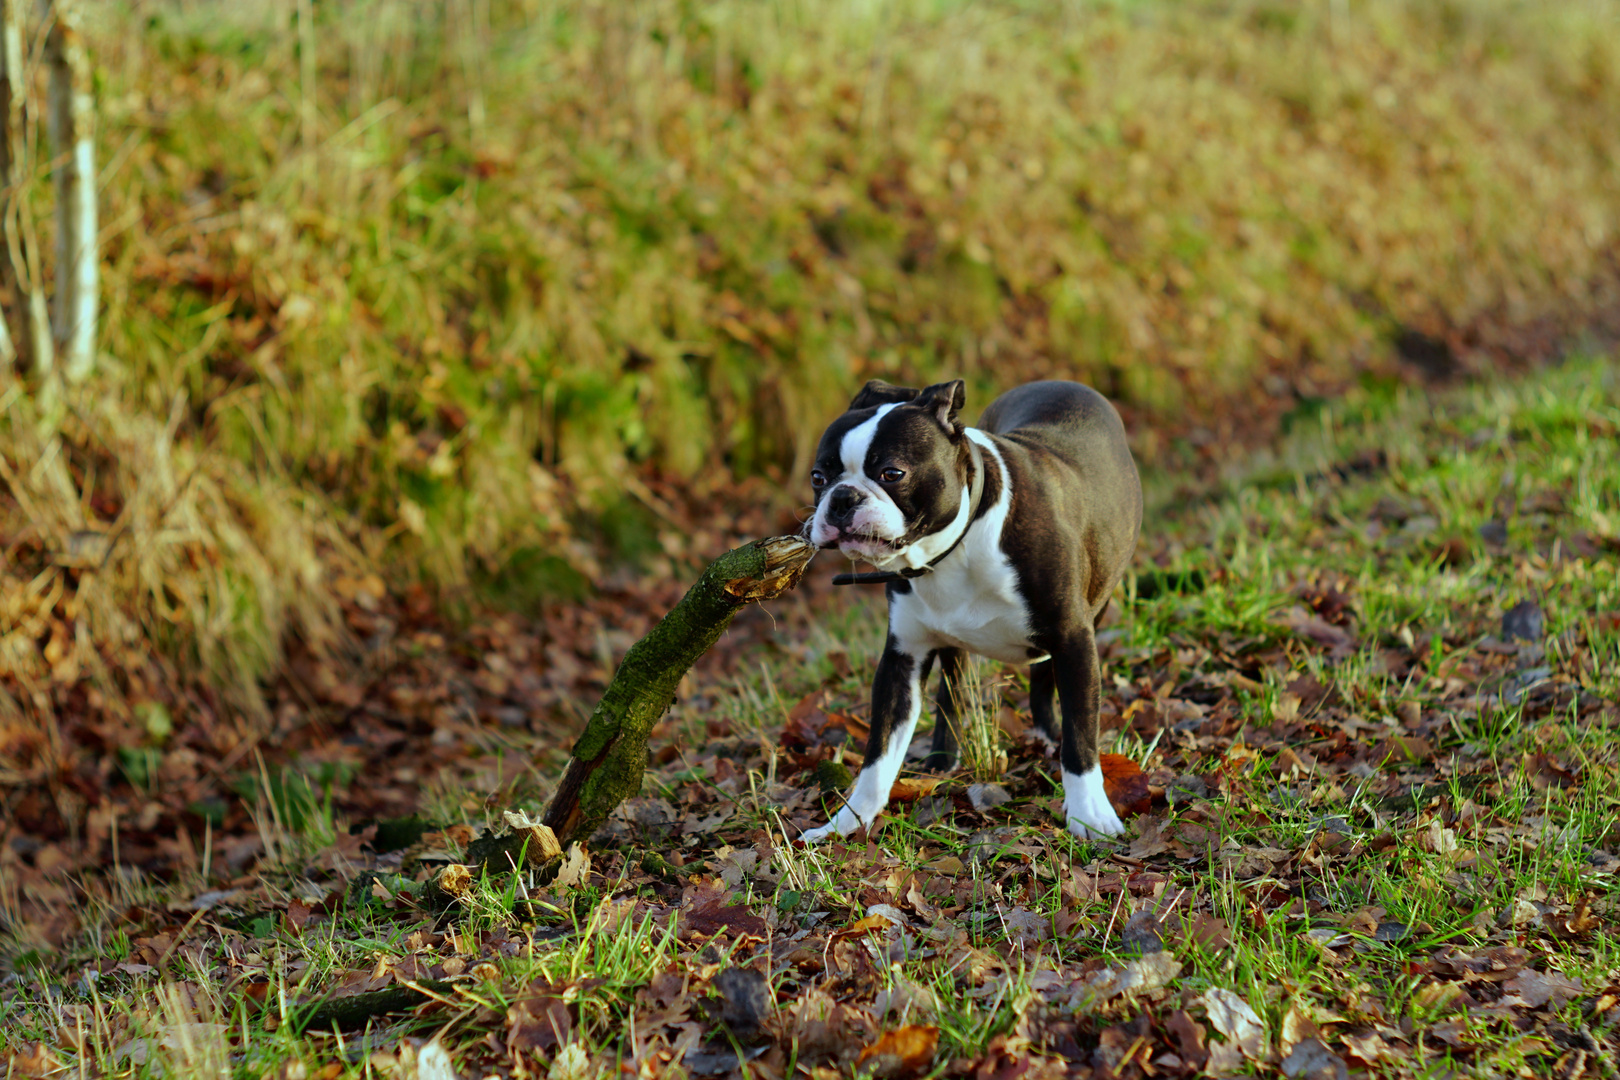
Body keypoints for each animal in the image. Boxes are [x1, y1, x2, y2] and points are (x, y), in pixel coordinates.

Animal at [797, 380, 1140, 841]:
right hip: (951, 644)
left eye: (892, 473)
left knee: (1042, 680)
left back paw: (1048, 736)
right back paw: (943, 760)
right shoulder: (902, 659)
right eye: (818, 478)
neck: (954, 548)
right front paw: (845, 823)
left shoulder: (1073, 639)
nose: (841, 497)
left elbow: (1081, 733)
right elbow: (879, 754)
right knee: (953, 689)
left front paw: (1090, 815)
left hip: (1090, 614)